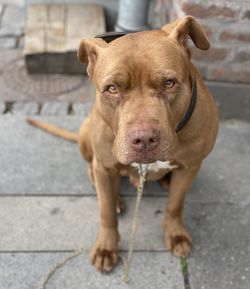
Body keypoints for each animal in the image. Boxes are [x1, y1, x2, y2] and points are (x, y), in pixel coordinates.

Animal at [27, 15, 219, 272]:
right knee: (94, 173)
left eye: (169, 83)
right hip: (88, 135)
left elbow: (175, 205)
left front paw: (176, 233)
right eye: (112, 89)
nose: (144, 138)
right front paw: (107, 247)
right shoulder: (105, 166)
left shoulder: (191, 165)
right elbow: (106, 212)